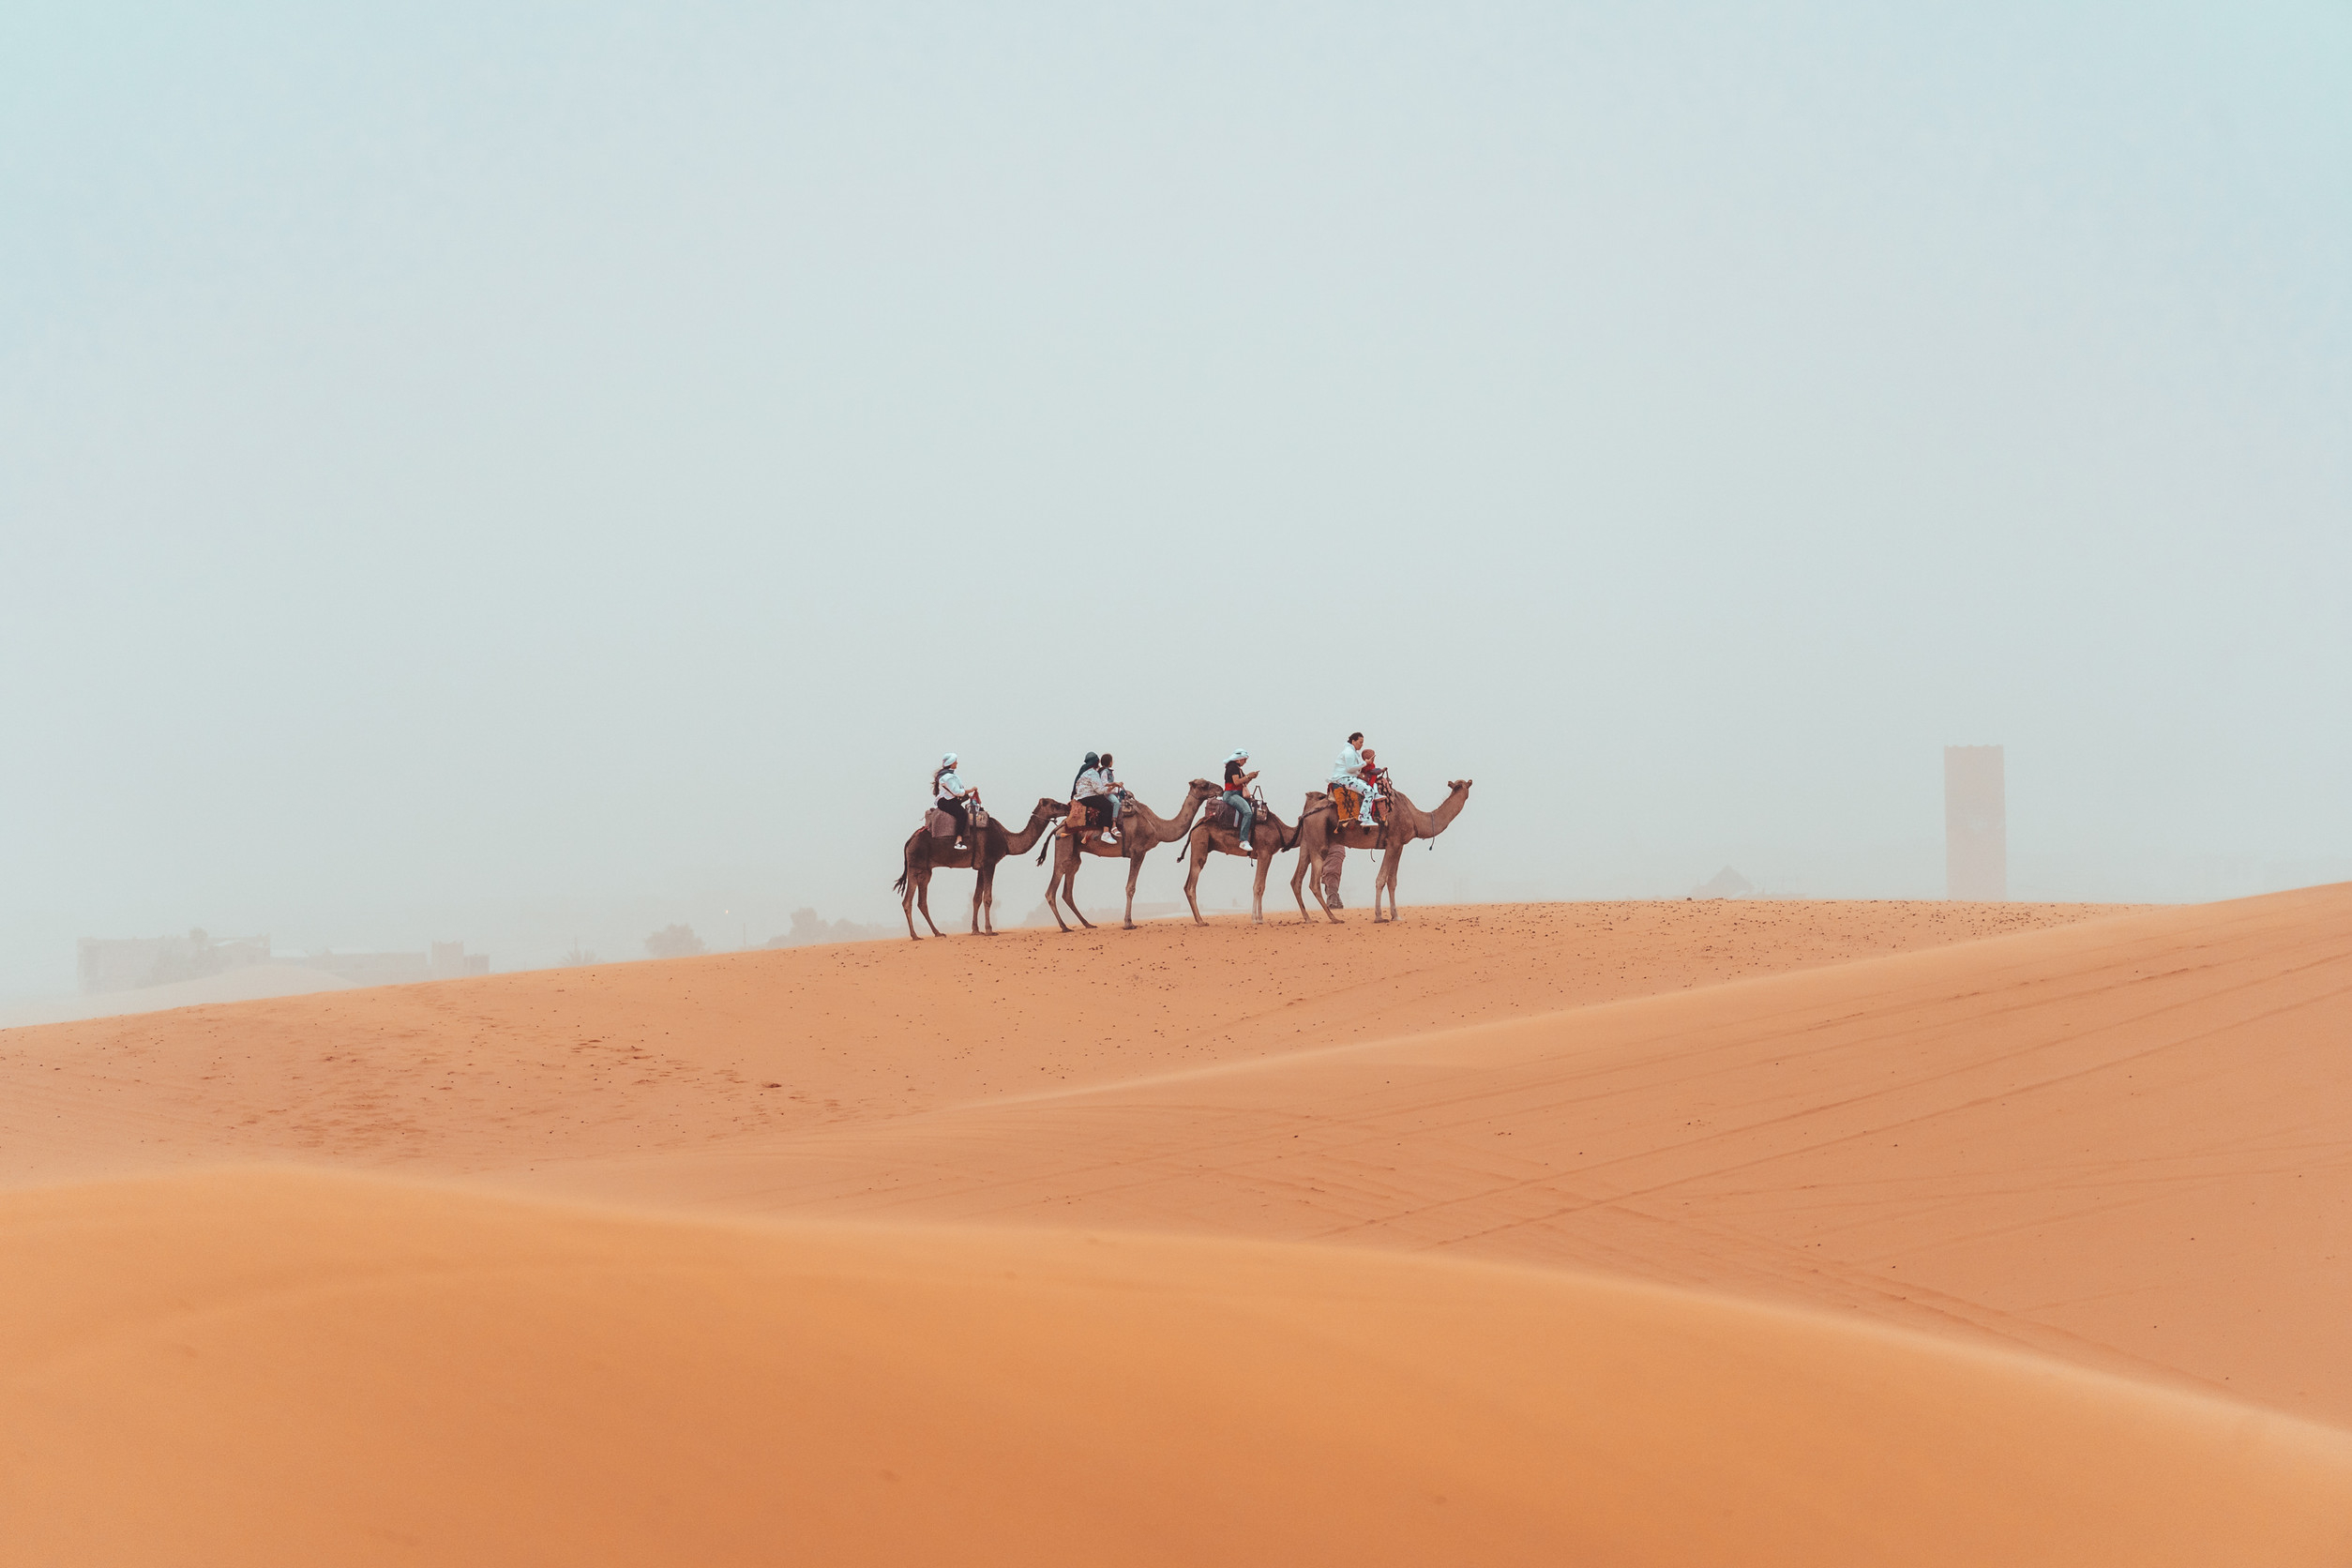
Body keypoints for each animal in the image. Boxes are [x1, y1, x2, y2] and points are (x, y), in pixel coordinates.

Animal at [894, 797, 1065, 940]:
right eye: (1055, 804)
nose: (1068, 806)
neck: (1006, 840)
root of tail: (910, 840)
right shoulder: (990, 863)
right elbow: (987, 898)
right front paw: (990, 930)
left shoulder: (981, 867)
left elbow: (976, 898)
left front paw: (976, 930)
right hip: (915, 867)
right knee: (907, 901)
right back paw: (915, 935)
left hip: (926, 871)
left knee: (921, 902)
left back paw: (938, 933)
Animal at [1038, 779, 1219, 931]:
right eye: (1204, 785)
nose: (1219, 788)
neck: (1157, 827)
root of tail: (1059, 827)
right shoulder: (1138, 851)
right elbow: (1130, 887)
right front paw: (1128, 923)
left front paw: (1128, 921)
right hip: (1064, 847)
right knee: (1051, 890)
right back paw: (1064, 927)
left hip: (1075, 856)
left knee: (1067, 892)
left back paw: (1087, 924)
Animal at [1174, 796, 1300, 925]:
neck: (1281, 831)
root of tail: (1196, 825)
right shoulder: (1265, 853)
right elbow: (1258, 886)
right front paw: (1256, 919)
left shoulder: (1265, 855)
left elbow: (1261, 886)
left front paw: (1259, 918)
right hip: (1200, 840)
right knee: (1192, 882)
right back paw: (1201, 921)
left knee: (1187, 884)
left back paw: (1199, 919)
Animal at [1289, 780, 1472, 924]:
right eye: (1464, 786)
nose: (1468, 784)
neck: (1416, 819)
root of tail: (1306, 813)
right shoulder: (1393, 843)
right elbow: (1381, 879)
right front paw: (1379, 916)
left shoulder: (1399, 845)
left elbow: (1392, 881)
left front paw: (1396, 916)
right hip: (1318, 842)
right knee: (1313, 883)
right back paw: (1334, 918)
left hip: (1306, 843)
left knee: (1296, 880)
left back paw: (1308, 918)